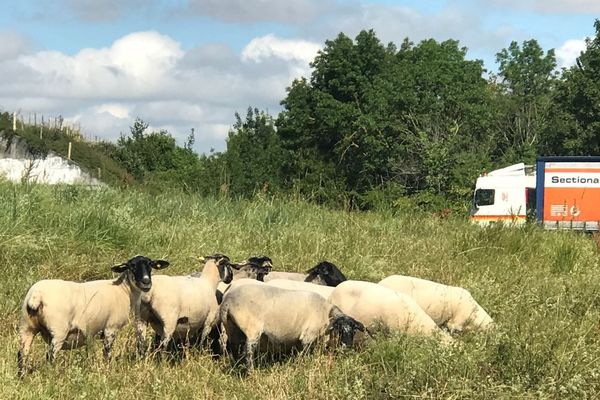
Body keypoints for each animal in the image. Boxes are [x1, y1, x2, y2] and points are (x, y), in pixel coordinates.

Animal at [17, 255, 168, 376]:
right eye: (131, 266)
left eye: (150, 265)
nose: (146, 282)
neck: (124, 291)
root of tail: (37, 296)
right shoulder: (111, 327)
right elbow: (107, 352)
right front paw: (107, 370)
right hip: (58, 331)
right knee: (50, 356)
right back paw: (51, 375)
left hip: (26, 326)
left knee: (22, 354)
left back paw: (21, 377)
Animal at [219, 282, 364, 370]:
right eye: (339, 330)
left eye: (354, 331)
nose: (347, 346)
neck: (325, 313)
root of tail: (227, 302)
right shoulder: (307, 336)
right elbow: (306, 354)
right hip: (251, 328)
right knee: (248, 351)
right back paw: (251, 373)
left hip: (231, 327)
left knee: (235, 348)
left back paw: (238, 367)